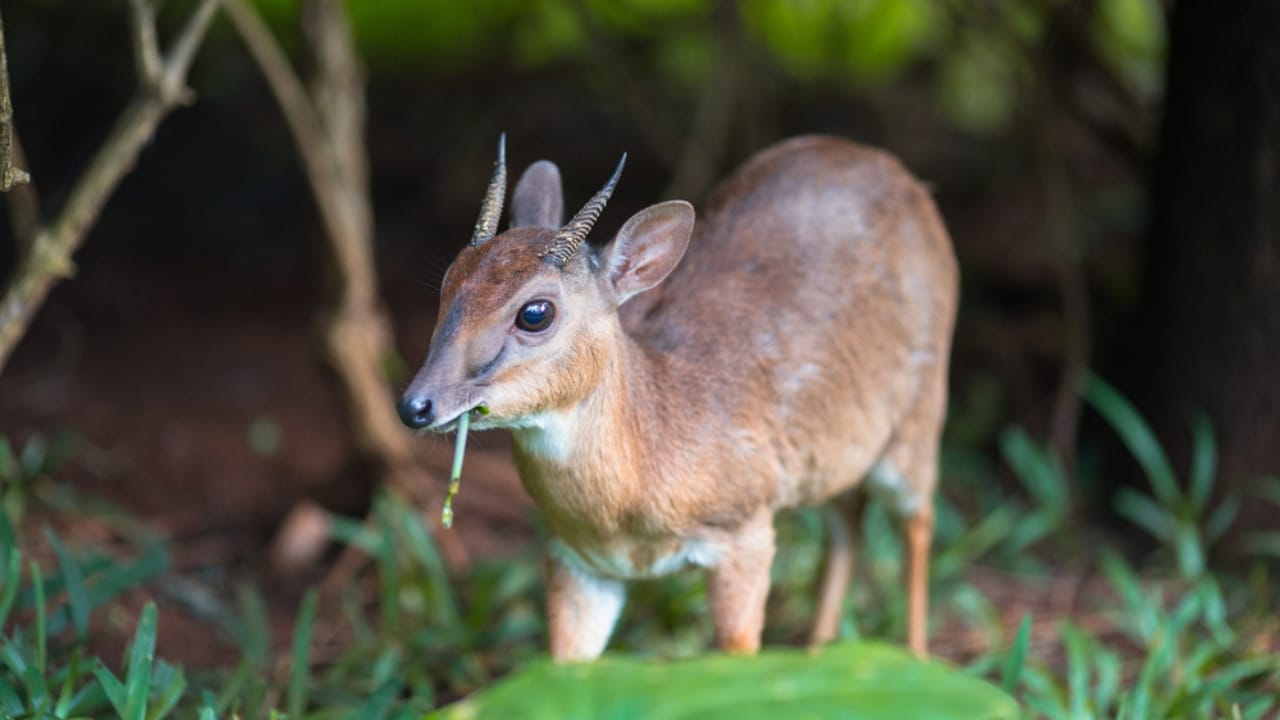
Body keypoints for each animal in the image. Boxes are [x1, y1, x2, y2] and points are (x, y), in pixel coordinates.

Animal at [398, 134, 958, 661]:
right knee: (848, 521)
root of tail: (905, 177)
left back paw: (917, 660)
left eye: (535, 312)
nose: (415, 405)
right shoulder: (576, 560)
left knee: (918, 522)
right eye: (448, 281)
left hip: (919, 418)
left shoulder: (746, 531)